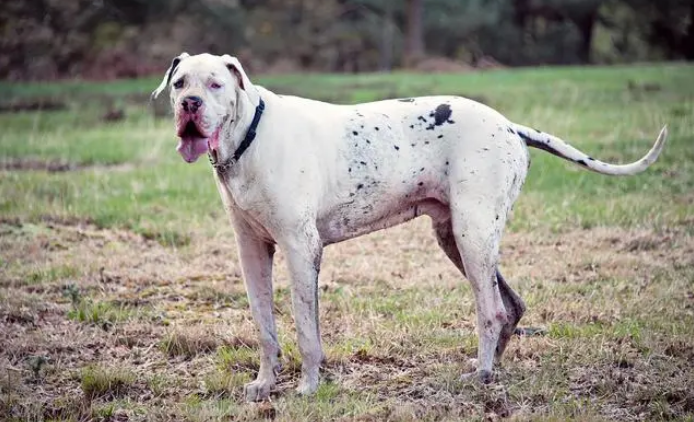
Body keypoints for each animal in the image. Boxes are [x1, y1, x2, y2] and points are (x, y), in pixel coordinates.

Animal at [151, 53, 668, 402]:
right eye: (180, 83)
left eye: (216, 84)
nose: (190, 104)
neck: (250, 139)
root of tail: (510, 126)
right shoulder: (253, 252)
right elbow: (265, 327)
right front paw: (264, 383)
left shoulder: (302, 249)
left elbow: (305, 330)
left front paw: (309, 387)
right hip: (456, 238)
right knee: (511, 307)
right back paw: (493, 369)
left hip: (473, 235)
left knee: (491, 310)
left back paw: (481, 376)